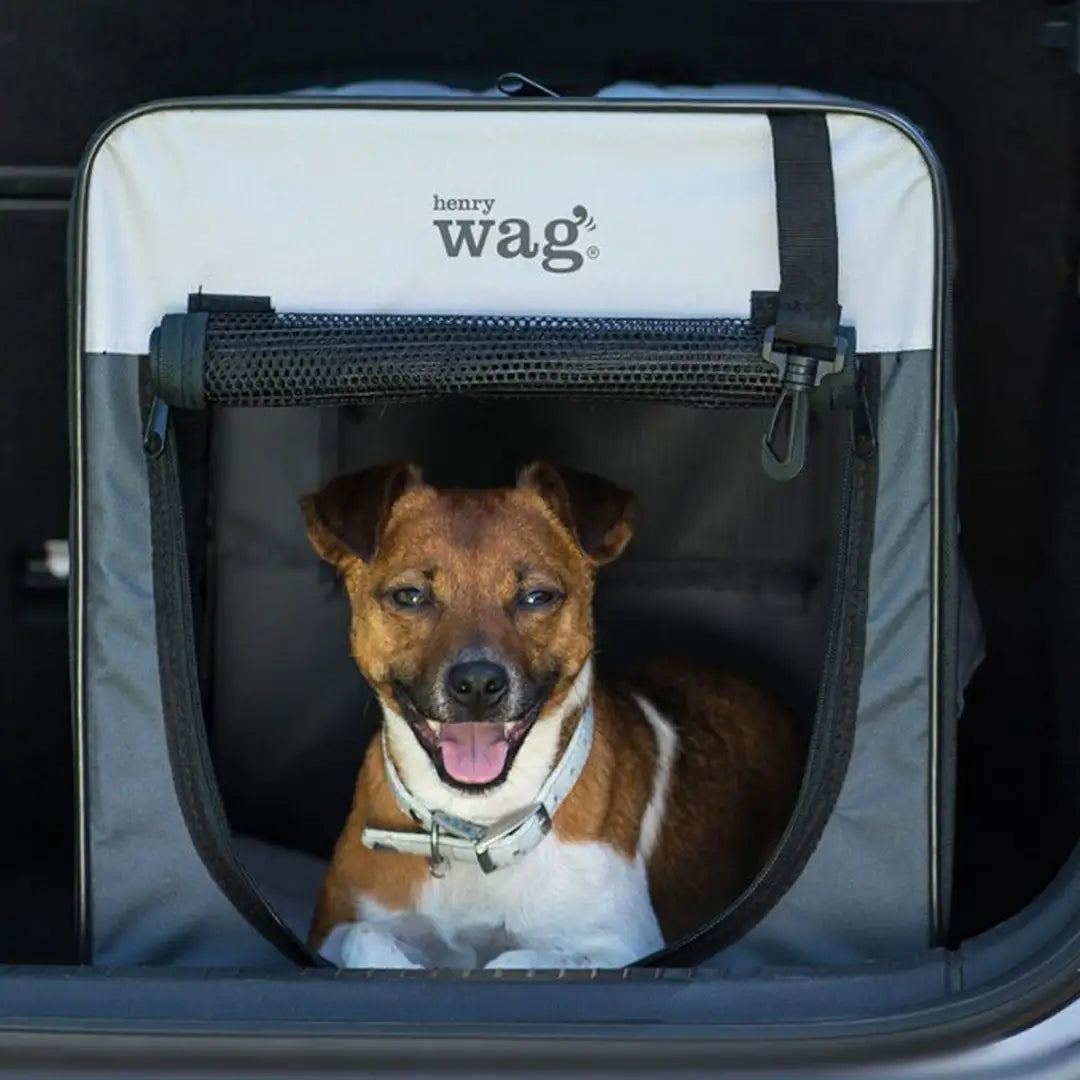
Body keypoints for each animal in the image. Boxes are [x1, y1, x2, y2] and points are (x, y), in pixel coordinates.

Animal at [295, 462, 803, 972]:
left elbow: (511, 960)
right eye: (410, 596)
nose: (477, 684)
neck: (476, 829)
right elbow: (368, 938)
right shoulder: (332, 927)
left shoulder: (621, 946)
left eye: (537, 597)